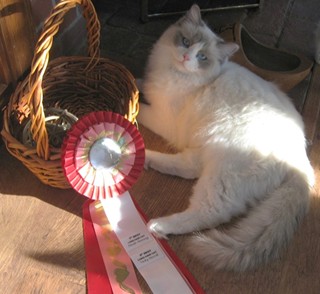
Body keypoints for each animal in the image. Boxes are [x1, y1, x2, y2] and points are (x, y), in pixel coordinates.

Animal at [138, 4, 316, 272]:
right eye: (185, 41)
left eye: (202, 57)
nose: (186, 57)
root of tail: (301, 161)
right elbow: (140, 84)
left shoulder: (163, 118)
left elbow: (140, 108)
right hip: (206, 148)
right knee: (187, 167)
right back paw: (145, 158)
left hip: (221, 172)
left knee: (208, 211)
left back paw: (158, 225)